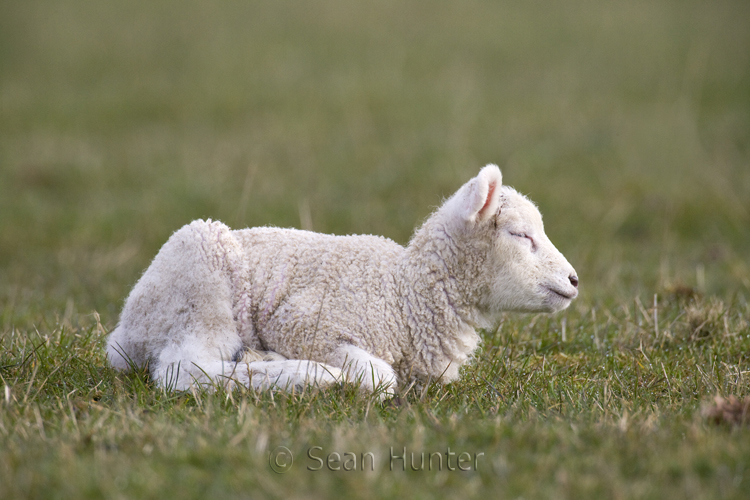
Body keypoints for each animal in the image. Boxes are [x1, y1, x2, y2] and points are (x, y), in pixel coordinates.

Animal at [106, 165, 580, 394]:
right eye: (520, 235)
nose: (574, 280)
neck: (405, 292)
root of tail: (122, 334)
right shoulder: (302, 322)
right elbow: (380, 378)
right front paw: (333, 378)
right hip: (201, 283)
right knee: (182, 371)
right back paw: (290, 375)